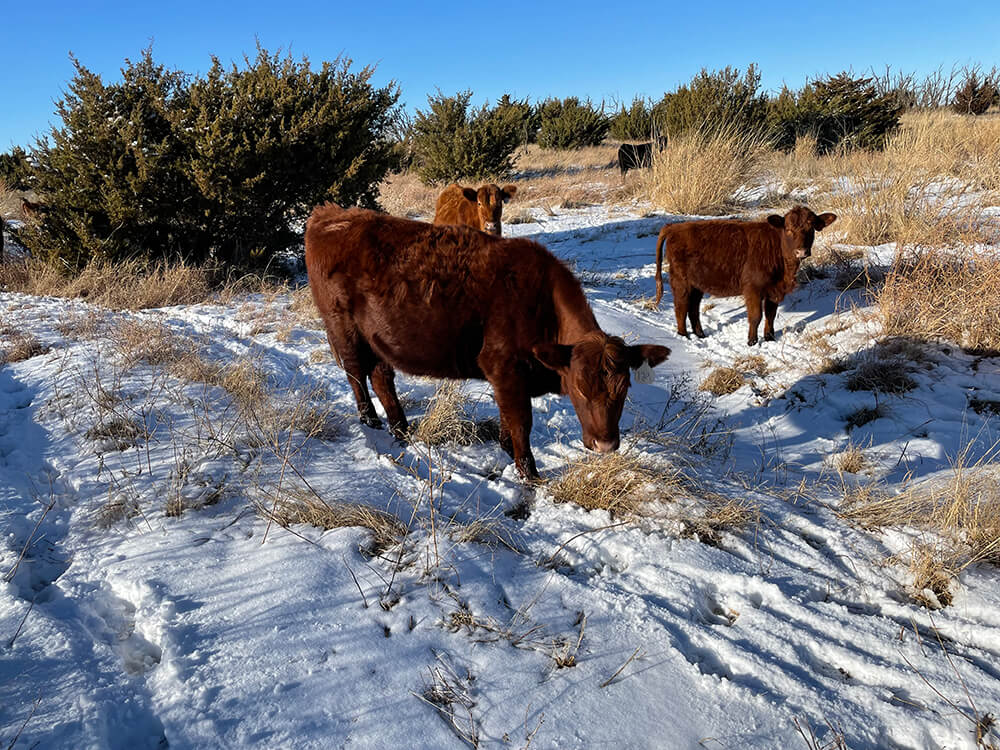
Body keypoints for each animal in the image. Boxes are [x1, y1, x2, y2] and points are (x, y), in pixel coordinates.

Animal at [300, 203, 668, 478]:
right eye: (579, 388)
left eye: (625, 388)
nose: (606, 446)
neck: (540, 301)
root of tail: (329, 214)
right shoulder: (505, 368)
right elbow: (521, 423)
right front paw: (529, 474)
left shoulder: (510, 377)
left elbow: (509, 419)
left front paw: (506, 450)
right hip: (342, 328)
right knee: (355, 373)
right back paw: (370, 420)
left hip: (377, 338)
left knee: (381, 376)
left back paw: (401, 429)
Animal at [656, 206, 836, 346]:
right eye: (789, 229)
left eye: (811, 228)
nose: (801, 251)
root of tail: (674, 227)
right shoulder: (753, 288)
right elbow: (756, 316)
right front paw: (752, 341)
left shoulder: (774, 290)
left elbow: (770, 315)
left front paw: (769, 338)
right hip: (681, 281)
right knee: (681, 307)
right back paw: (683, 335)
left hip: (697, 284)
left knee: (693, 308)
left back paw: (700, 334)